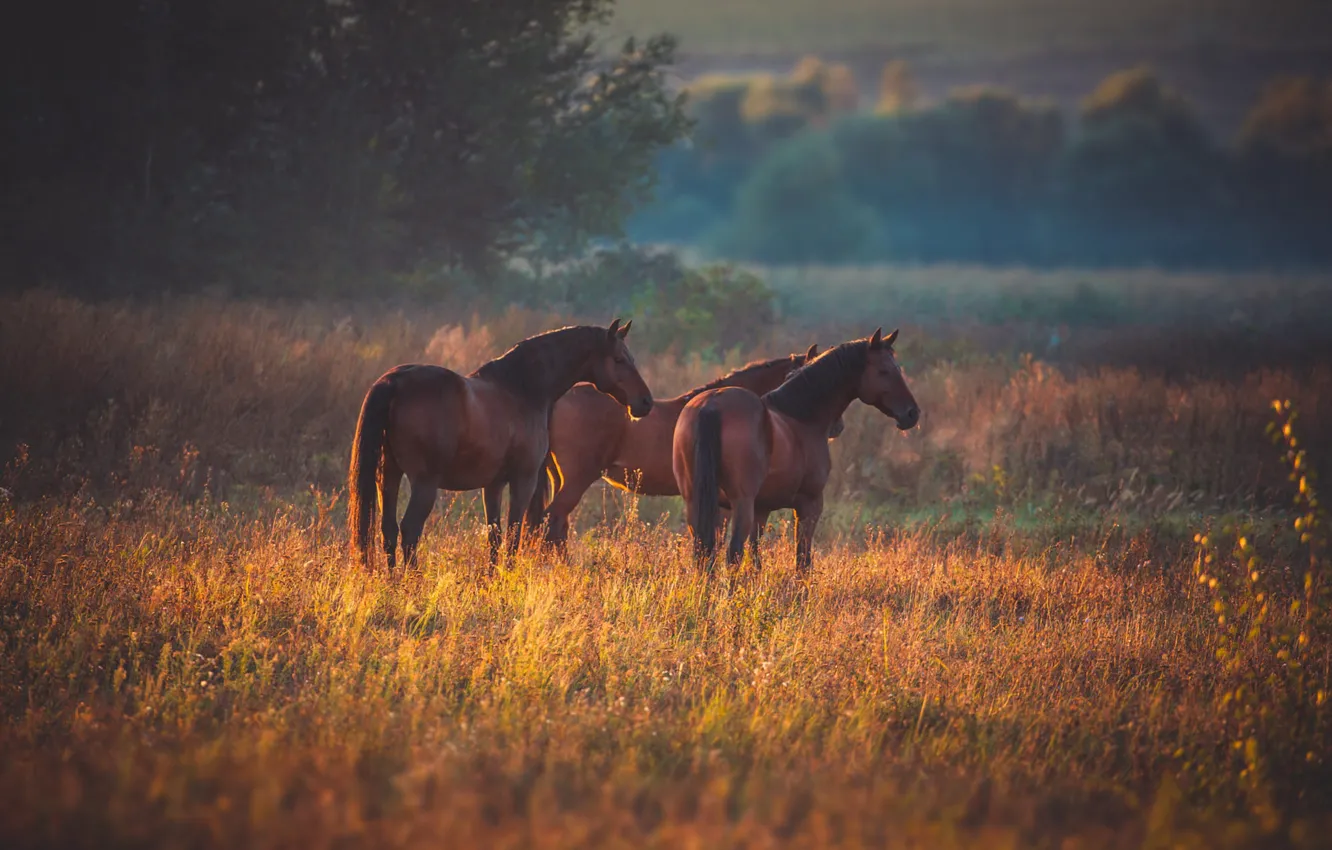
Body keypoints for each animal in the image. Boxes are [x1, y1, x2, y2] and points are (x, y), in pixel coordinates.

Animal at [346, 319, 652, 572]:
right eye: (618, 359)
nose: (645, 402)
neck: (521, 388)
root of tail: (394, 381)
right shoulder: (523, 480)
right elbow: (514, 534)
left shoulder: (492, 485)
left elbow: (494, 536)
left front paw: (492, 580)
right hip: (424, 484)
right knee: (409, 530)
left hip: (389, 476)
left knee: (388, 530)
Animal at [671, 330, 921, 575]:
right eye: (884, 370)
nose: (912, 413)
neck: (801, 417)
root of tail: (711, 405)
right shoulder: (809, 504)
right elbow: (803, 561)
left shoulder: (762, 509)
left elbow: (756, 558)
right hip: (740, 503)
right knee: (732, 554)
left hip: (698, 502)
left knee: (704, 554)